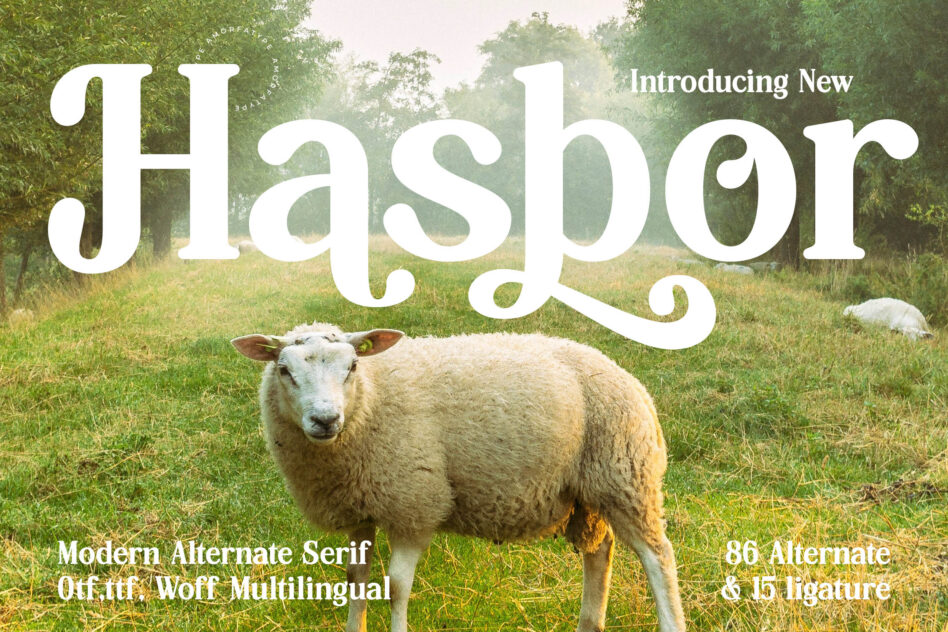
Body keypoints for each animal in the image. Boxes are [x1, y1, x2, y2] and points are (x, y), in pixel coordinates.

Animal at [232, 323, 686, 632]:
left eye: (353, 366)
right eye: (284, 370)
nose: (325, 420)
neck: (370, 400)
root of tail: (628, 378)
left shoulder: (414, 503)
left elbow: (396, 587)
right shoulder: (361, 506)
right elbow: (356, 580)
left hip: (625, 475)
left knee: (657, 557)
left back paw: (669, 620)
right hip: (587, 493)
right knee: (601, 550)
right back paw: (589, 622)